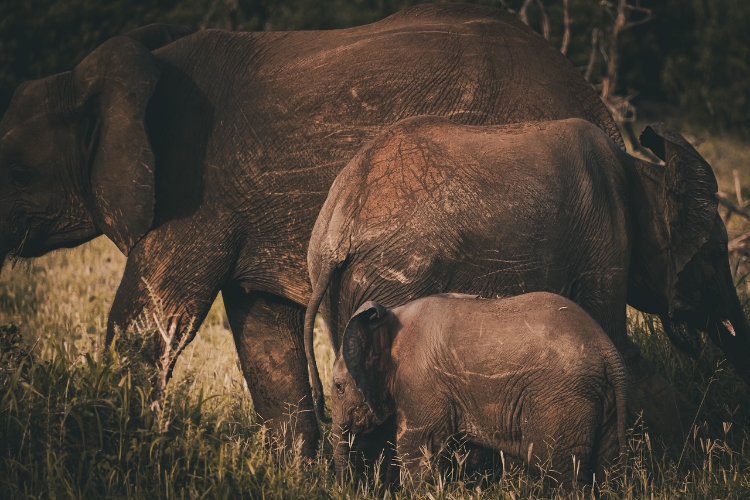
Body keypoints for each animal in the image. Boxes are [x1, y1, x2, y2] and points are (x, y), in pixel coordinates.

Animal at [304, 116, 749, 452]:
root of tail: (339, 222)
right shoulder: (605, 239)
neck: (644, 172)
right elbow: (621, 347)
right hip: (399, 274)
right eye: (715, 254)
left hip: (345, 289)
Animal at [330, 293, 628, 485]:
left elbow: (416, 447)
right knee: (605, 466)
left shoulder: (420, 383)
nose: (349, 486)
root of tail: (608, 352)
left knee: (555, 469)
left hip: (562, 399)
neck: (392, 318)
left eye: (339, 387)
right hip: (601, 401)